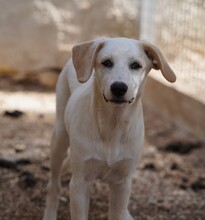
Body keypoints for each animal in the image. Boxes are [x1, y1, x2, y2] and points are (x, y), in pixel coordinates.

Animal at [42, 37, 175, 219]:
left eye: (136, 65)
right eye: (107, 62)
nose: (119, 87)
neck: (113, 125)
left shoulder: (122, 183)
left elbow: (117, 212)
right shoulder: (79, 183)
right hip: (59, 137)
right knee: (53, 185)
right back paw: (49, 212)